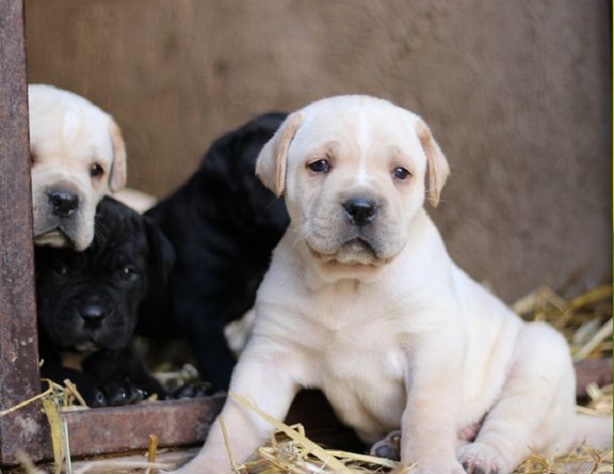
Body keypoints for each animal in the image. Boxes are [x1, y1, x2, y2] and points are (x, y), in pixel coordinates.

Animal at [35, 196, 174, 408]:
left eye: (126, 272)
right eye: (59, 269)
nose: (93, 315)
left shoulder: (123, 356)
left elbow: (146, 379)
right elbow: (62, 374)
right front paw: (105, 388)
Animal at [176, 95, 612, 474]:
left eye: (401, 173)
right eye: (319, 165)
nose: (361, 206)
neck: (349, 282)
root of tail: (569, 422)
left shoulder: (432, 348)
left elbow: (425, 416)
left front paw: (432, 466)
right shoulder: (269, 358)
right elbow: (233, 422)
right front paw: (203, 466)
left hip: (541, 356)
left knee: (510, 426)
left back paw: (479, 454)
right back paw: (396, 443)